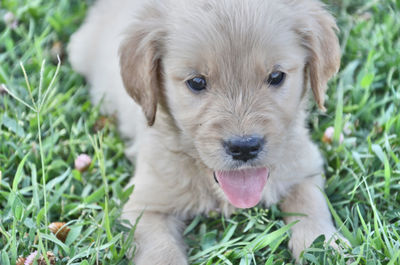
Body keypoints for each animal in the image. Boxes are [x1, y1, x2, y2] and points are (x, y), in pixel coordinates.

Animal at [68, 0, 344, 262]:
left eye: (276, 76)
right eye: (197, 82)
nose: (244, 148)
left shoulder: (304, 164)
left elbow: (310, 202)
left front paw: (324, 245)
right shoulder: (144, 206)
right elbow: (161, 253)